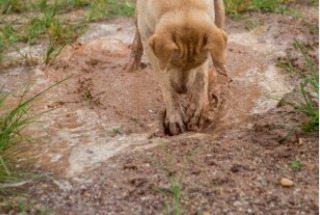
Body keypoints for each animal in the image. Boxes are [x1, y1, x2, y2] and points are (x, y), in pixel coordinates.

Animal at [125, 0, 228, 135]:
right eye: (172, 64)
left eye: (196, 64)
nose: (182, 91)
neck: (182, 6)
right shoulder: (149, 39)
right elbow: (166, 84)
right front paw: (175, 116)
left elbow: (201, 77)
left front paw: (197, 109)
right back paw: (132, 63)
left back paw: (221, 69)